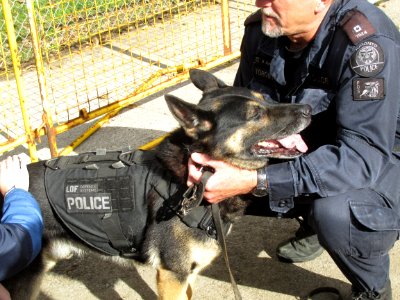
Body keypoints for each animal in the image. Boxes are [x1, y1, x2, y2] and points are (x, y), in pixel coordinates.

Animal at [3, 69, 312, 298]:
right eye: (254, 114)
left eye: (265, 98)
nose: (308, 109)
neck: (193, 178)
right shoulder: (171, 275)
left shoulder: (187, 274)